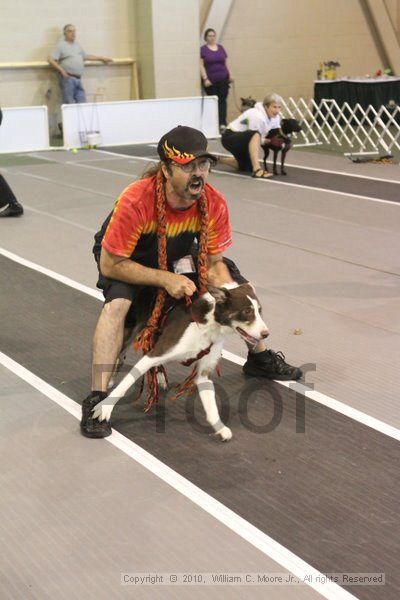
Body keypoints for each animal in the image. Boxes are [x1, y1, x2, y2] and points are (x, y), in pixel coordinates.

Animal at [92, 282, 268, 440]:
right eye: (247, 311)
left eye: (260, 311)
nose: (266, 334)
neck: (210, 326)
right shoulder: (156, 353)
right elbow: (125, 384)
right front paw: (105, 408)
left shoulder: (203, 373)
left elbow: (211, 406)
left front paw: (220, 428)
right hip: (129, 329)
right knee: (119, 355)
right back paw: (111, 379)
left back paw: (160, 378)